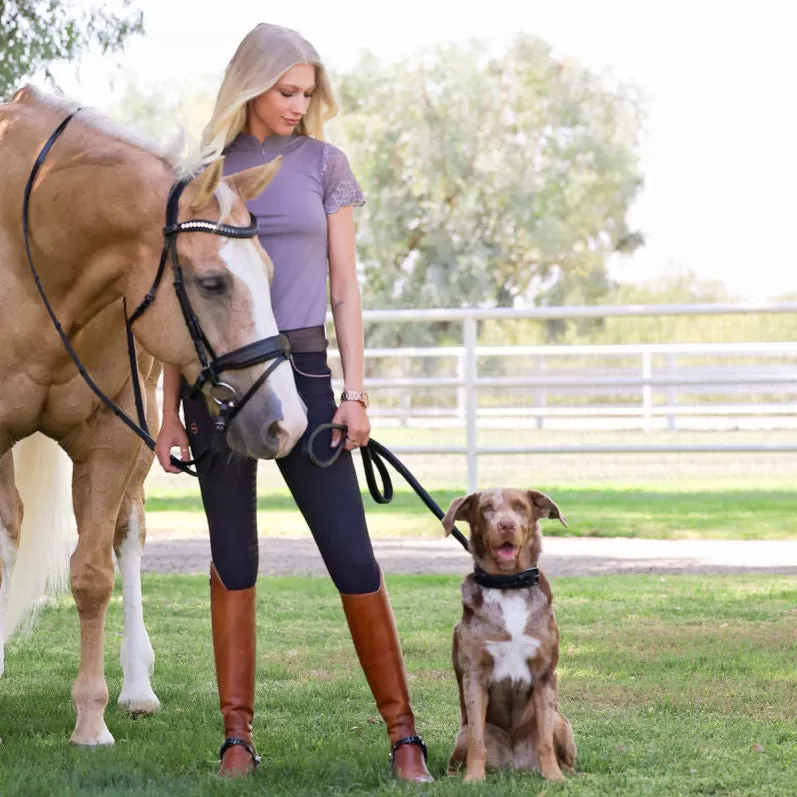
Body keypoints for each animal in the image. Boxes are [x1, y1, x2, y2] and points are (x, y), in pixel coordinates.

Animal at [0, 87, 308, 748]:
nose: (288, 423)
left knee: (128, 534)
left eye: (269, 274)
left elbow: (93, 573)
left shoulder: (113, 437)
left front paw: (90, 721)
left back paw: (136, 686)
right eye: (213, 283)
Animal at [442, 488, 580, 780]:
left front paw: (554, 779)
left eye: (520, 507)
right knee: (460, 753)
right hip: (462, 733)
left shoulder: (544, 677)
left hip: (561, 721)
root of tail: (514, 763)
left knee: (565, 755)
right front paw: (473, 779)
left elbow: (545, 741)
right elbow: (478, 741)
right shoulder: (475, 676)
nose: (506, 525)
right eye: (486, 508)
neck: (508, 585)